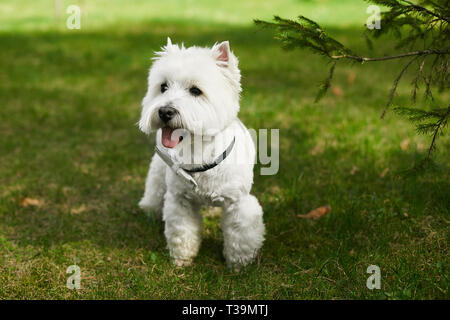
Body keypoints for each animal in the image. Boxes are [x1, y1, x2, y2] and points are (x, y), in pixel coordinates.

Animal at [137, 38, 264, 272]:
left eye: (196, 91)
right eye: (163, 87)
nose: (165, 111)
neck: (198, 150)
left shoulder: (239, 203)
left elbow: (240, 238)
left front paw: (239, 266)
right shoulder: (180, 201)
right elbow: (182, 232)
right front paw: (182, 260)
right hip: (158, 170)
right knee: (154, 187)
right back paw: (148, 209)